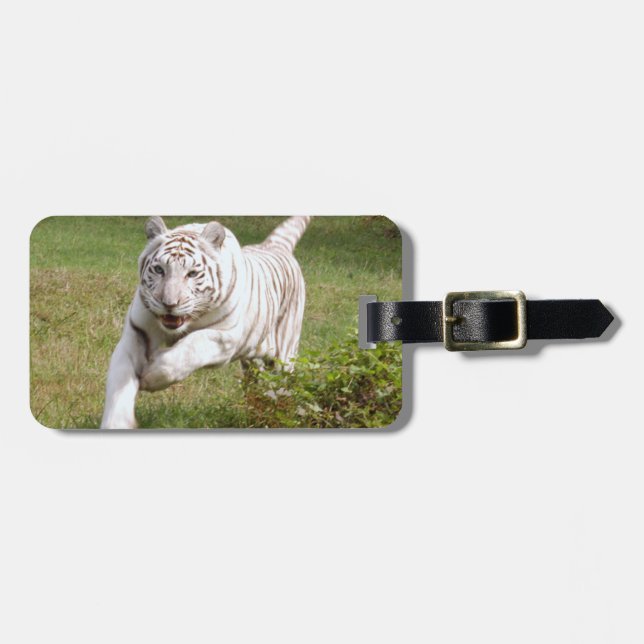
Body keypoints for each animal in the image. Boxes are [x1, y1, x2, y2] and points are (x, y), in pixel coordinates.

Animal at [100, 216, 311, 429]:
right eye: (159, 270)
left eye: (192, 274)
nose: (169, 304)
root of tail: (275, 246)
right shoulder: (137, 332)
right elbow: (120, 381)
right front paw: (116, 423)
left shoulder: (226, 339)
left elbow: (188, 348)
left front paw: (151, 375)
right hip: (253, 364)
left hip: (284, 358)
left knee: (281, 387)